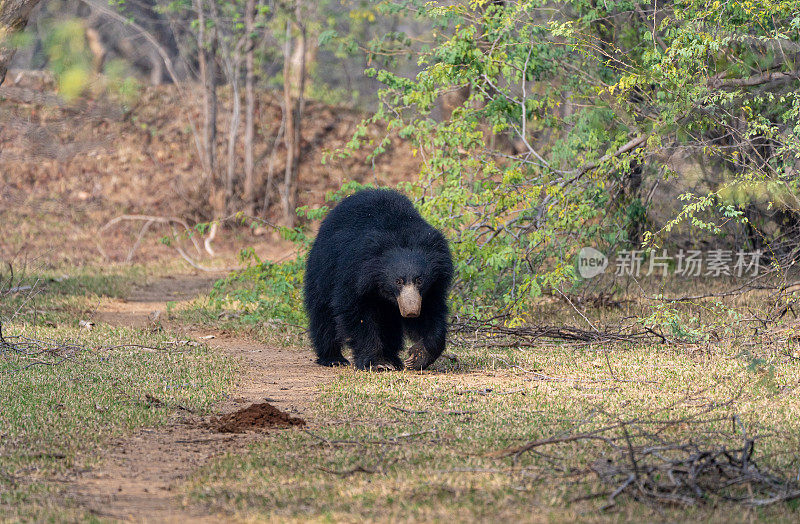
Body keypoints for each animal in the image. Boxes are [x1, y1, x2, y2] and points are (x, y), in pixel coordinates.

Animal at [304, 190, 454, 370]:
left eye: (419, 280)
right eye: (398, 281)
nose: (411, 311)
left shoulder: (433, 286)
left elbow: (432, 311)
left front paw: (418, 356)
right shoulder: (353, 274)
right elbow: (357, 314)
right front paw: (377, 364)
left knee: (390, 326)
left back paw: (393, 359)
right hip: (322, 271)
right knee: (323, 314)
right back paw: (333, 358)